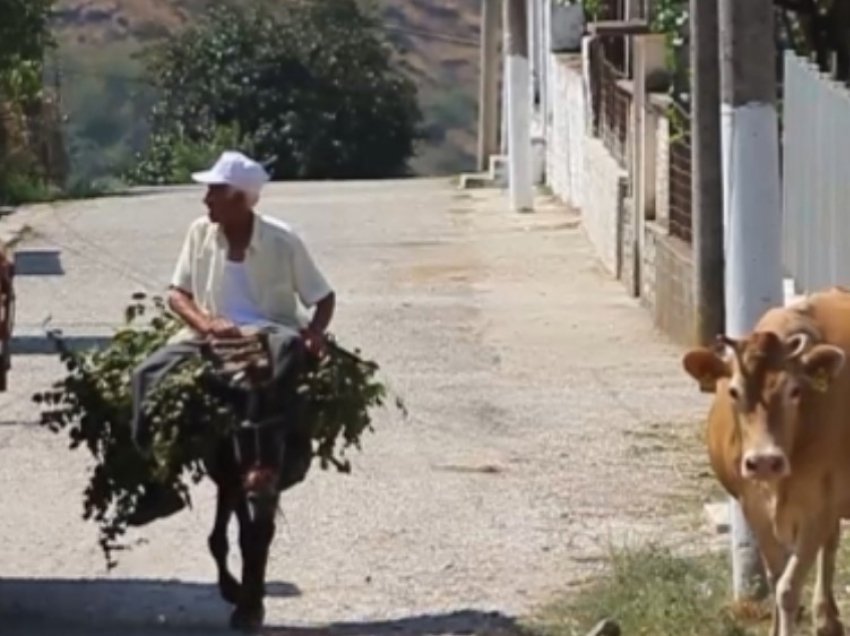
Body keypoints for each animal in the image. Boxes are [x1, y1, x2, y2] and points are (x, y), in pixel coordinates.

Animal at [680, 286, 850, 636]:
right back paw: (826, 618)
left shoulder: (819, 508)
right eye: (733, 391)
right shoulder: (753, 506)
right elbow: (776, 577)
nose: (764, 461)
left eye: (795, 390)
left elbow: (788, 587)